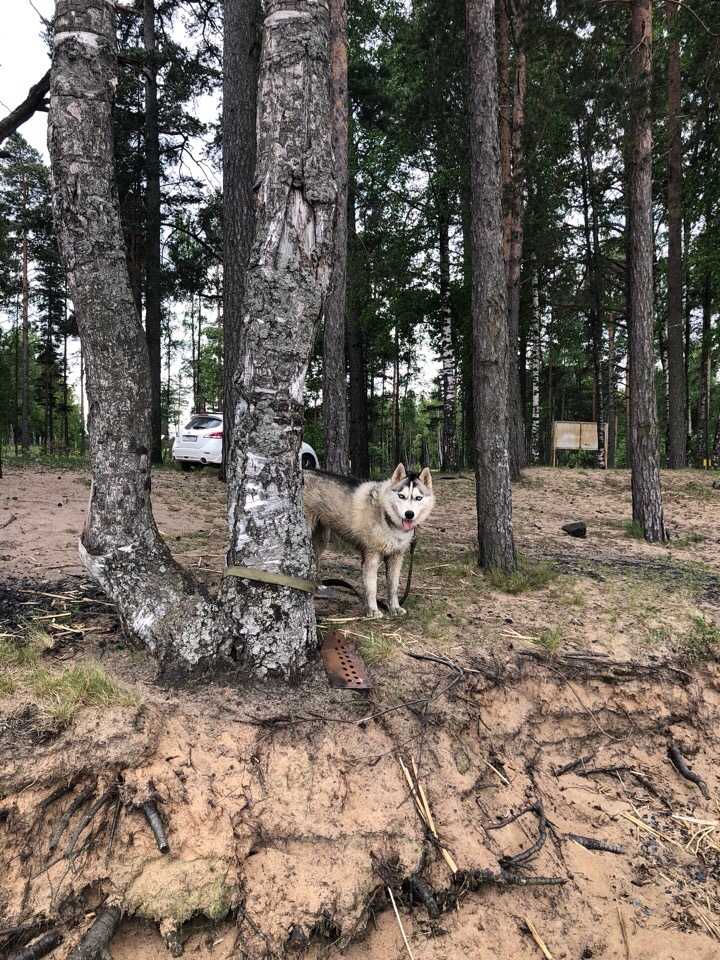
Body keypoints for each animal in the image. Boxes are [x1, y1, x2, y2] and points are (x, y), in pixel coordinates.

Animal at [302, 466, 434, 624]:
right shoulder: (371, 555)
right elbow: (372, 587)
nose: (409, 514)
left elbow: (393, 587)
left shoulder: (396, 556)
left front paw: (394, 607)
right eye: (401, 496)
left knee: (315, 560)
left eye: (418, 498)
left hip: (321, 540)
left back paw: (318, 586)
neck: (385, 514)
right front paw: (373, 610)